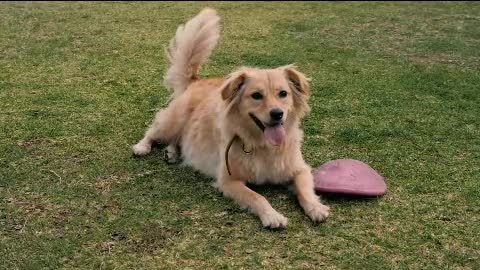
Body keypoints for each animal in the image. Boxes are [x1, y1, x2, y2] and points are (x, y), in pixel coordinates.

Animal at [133, 8, 332, 228]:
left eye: (283, 94)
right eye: (256, 95)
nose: (277, 113)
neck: (262, 145)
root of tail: (196, 81)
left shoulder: (299, 169)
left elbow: (305, 190)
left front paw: (315, 207)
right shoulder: (229, 181)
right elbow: (257, 197)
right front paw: (272, 215)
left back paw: (173, 152)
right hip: (172, 122)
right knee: (153, 130)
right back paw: (142, 146)